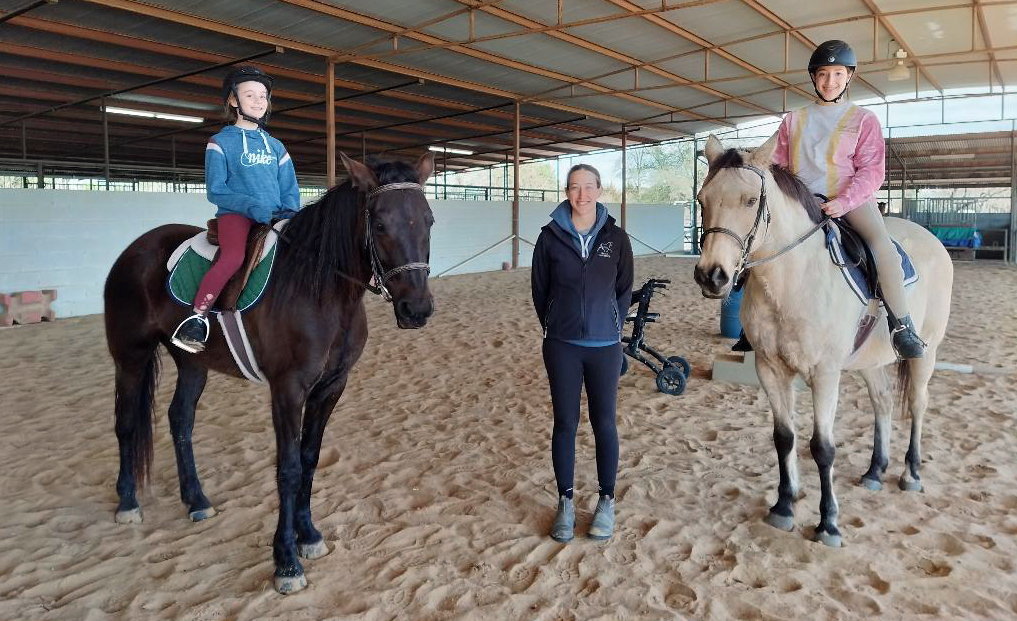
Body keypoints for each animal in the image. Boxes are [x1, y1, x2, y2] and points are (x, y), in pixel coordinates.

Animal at [104, 150, 437, 593]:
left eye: (429, 220)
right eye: (380, 223)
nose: (416, 310)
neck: (322, 290)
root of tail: (135, 249)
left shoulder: (331, 387)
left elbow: (310, 459)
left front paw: (308, 536)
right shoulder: (288, 389)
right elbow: (288, 468)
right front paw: (286, 563)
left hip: (192, 363)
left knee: (180, 419)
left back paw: (197, 500)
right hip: (131, 356)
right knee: (127, 424)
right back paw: (127, 502)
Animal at [695, 136, 947, 548]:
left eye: (750, 200)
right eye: (703, 199)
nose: (711, 276)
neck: (792, 280)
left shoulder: (825, 375)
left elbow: (822, 448)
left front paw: (828, 523)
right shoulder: (770, 369)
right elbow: (784, 437)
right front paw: (784, 505)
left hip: (926, 352)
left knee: (917, 404)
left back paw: (911, 474)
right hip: (870, 360)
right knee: (882, 403)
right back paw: (875, 471)